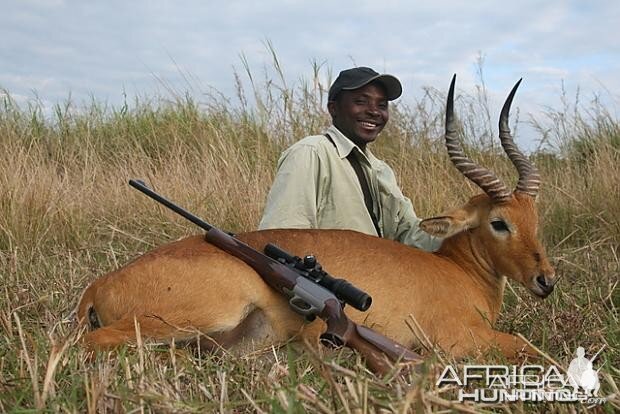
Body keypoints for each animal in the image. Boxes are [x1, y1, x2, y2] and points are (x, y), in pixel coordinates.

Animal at [75, 76, 556, 360]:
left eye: (535, 216)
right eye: (499, 222)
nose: (546, 280)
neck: (456, 271)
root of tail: (101, 283)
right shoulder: (456, 340)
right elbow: (531, 347)